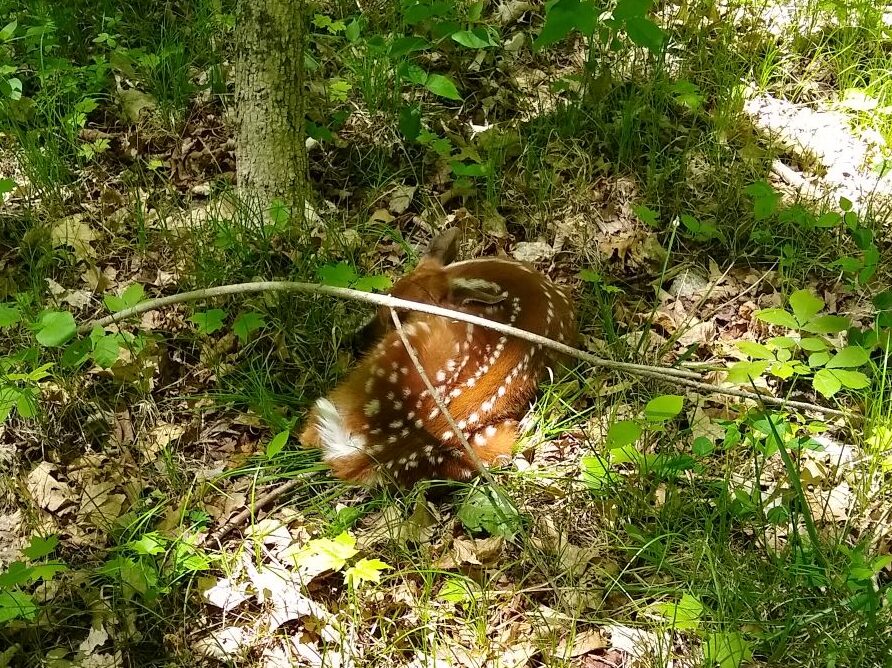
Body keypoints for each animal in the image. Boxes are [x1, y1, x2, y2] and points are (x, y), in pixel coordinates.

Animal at [300, 228, 576, 487]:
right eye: (383, 299)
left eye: (400, 316)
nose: (356, 341)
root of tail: (374, 450)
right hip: (495, 443)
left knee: (309, 431)